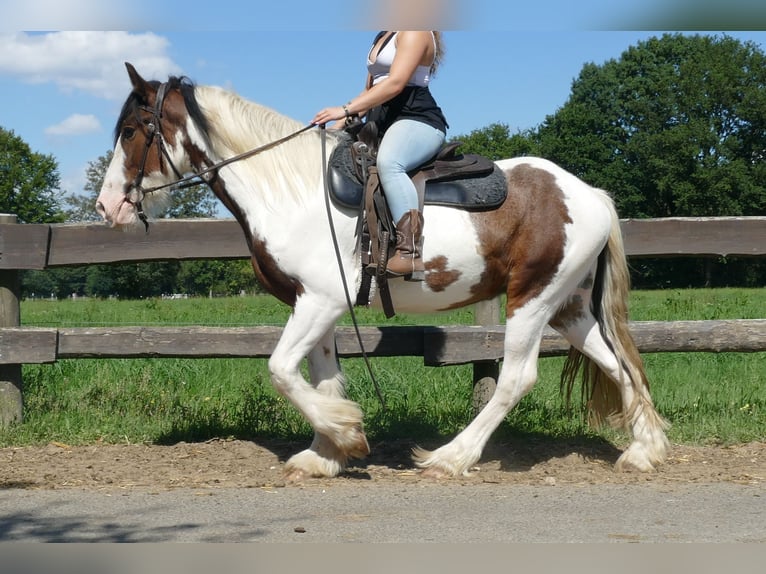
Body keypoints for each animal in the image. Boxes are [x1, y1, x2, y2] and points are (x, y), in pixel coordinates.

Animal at [96, 63, 670, 480]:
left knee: (516, 378)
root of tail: (590, 194)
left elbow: (281, 370)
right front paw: (326, 453)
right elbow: (323, 379)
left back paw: (451, 457)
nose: (107, 207)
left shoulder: (320, 300)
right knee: (619, 363)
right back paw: (645, 449)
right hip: (568, 307)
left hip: (531, 299)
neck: (294, 193)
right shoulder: (319, 304)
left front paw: (347, 435)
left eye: (132, 130)